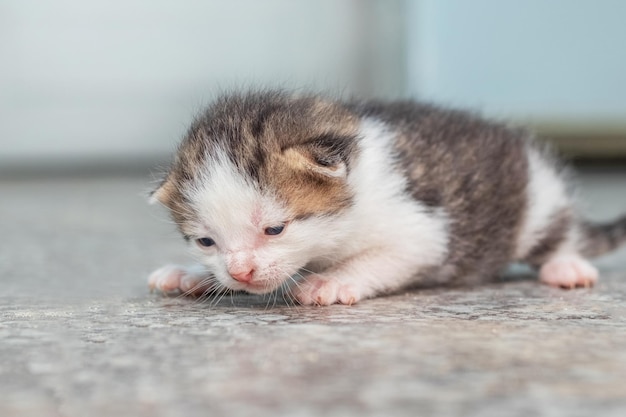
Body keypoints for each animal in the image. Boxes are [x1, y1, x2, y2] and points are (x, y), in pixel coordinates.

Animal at [147, 89, 624, 304]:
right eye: (206, 241)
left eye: (274, 229)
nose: (240, 273)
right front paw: (192, 274)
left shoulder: (422, 229)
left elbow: (380, 258)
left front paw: (331, 280)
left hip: (538, 200)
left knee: (560, 235)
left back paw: (565, 266)